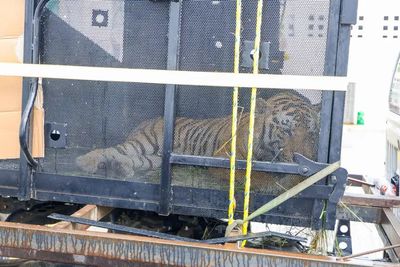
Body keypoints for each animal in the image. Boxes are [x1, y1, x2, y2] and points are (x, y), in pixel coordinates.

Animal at [75, 90, 318, 182]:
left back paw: (121, 168)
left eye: (312, 133)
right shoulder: (225, 160)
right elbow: (257, 178)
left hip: (153, 159)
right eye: (286, 130)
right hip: (144, 143)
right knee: (111, 149)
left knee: (131, 160)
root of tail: (147, 120)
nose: (302, 159)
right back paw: (86, 162)